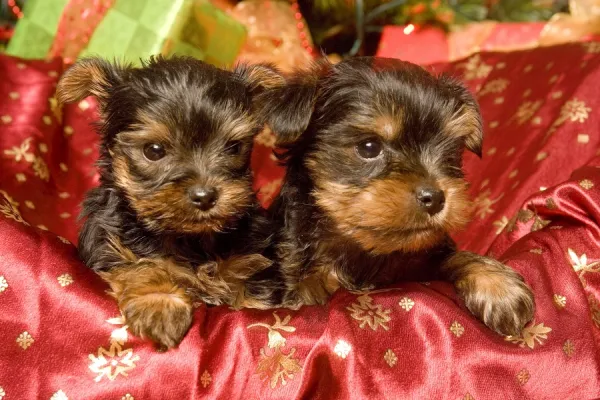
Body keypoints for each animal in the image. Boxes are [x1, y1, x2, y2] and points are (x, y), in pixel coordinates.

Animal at [58, 56, 286, 350]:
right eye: (153, 151)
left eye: (233, 147)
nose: (205, 196)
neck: (190, 238)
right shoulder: (107, 242)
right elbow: (141, 265)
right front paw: (160, 305)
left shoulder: (253, 258)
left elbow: (254, 299)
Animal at [262, 57, 536, 336]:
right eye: (369, 147)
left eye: (451, 152)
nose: (434, 197)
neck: (364, 250)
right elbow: (308, 287)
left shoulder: (424, 257)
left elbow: (454, 257)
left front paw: (498, 286)